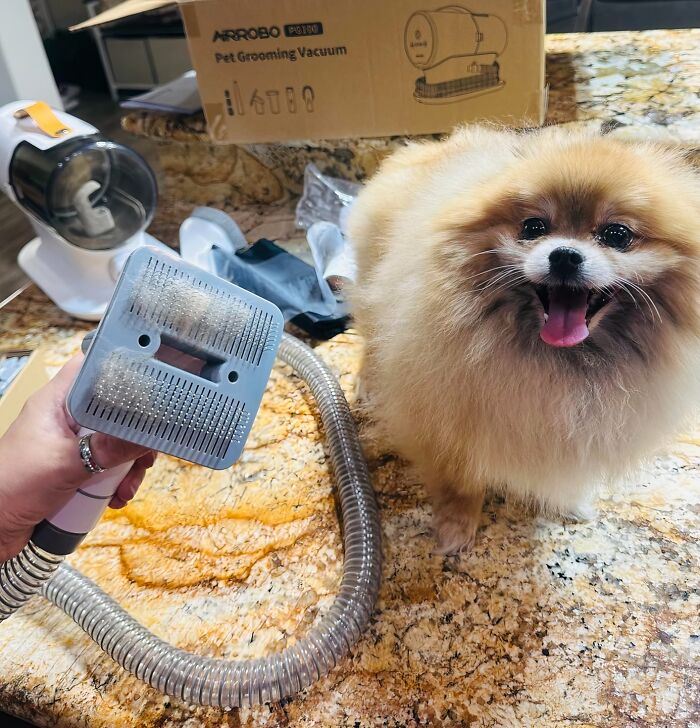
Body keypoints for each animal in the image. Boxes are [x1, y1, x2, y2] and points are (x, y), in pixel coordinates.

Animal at [348, 126, 700, 552]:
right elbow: (460, 477)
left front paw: (569, 502)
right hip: (372, 282)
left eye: (616, 235)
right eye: (533, 227)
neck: (561, 361)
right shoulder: (446, 409)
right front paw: (456, 524)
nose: (564, 255)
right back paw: (367, 380)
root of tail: (427, 148)